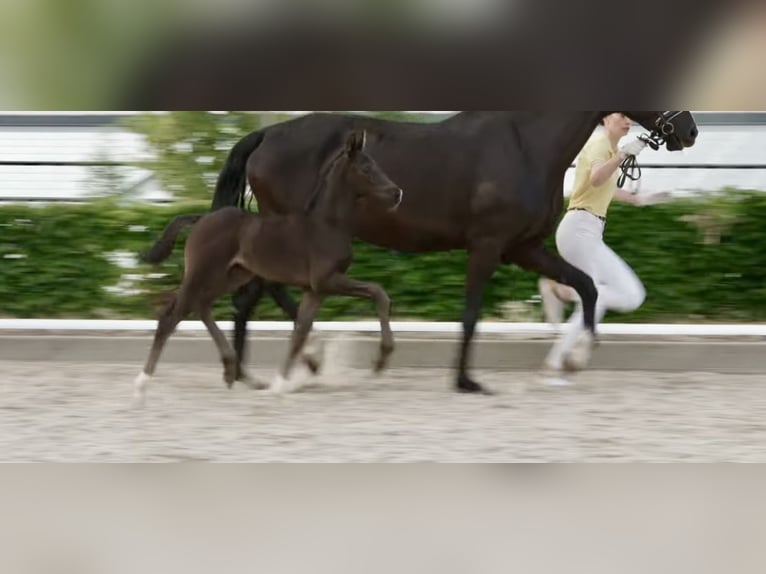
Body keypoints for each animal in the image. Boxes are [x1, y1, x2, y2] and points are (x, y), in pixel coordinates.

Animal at [133, 130, 404, 405]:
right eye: (366, 167)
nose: (397, 193)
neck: (327, 224)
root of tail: (201, 218)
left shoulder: (314, 289)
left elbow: (300, 331)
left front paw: (281, 384)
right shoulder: (327, 280)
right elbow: (378, 292)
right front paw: (381, 359)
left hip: (231, 276)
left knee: (201, 306)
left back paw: (230, 368)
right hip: (201, 273)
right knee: (171, 317)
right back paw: (142, 386)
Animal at [212, 111, 699, 395]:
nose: (690, 129)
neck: (527, 144)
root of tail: (267, 134)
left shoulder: (523, 246)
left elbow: (585, 286)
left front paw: (576, 359)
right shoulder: (487, 244)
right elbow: (470, 313)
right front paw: (466, 380)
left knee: (256, 295)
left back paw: (259, 371)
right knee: (259, 294)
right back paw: (283, 365)